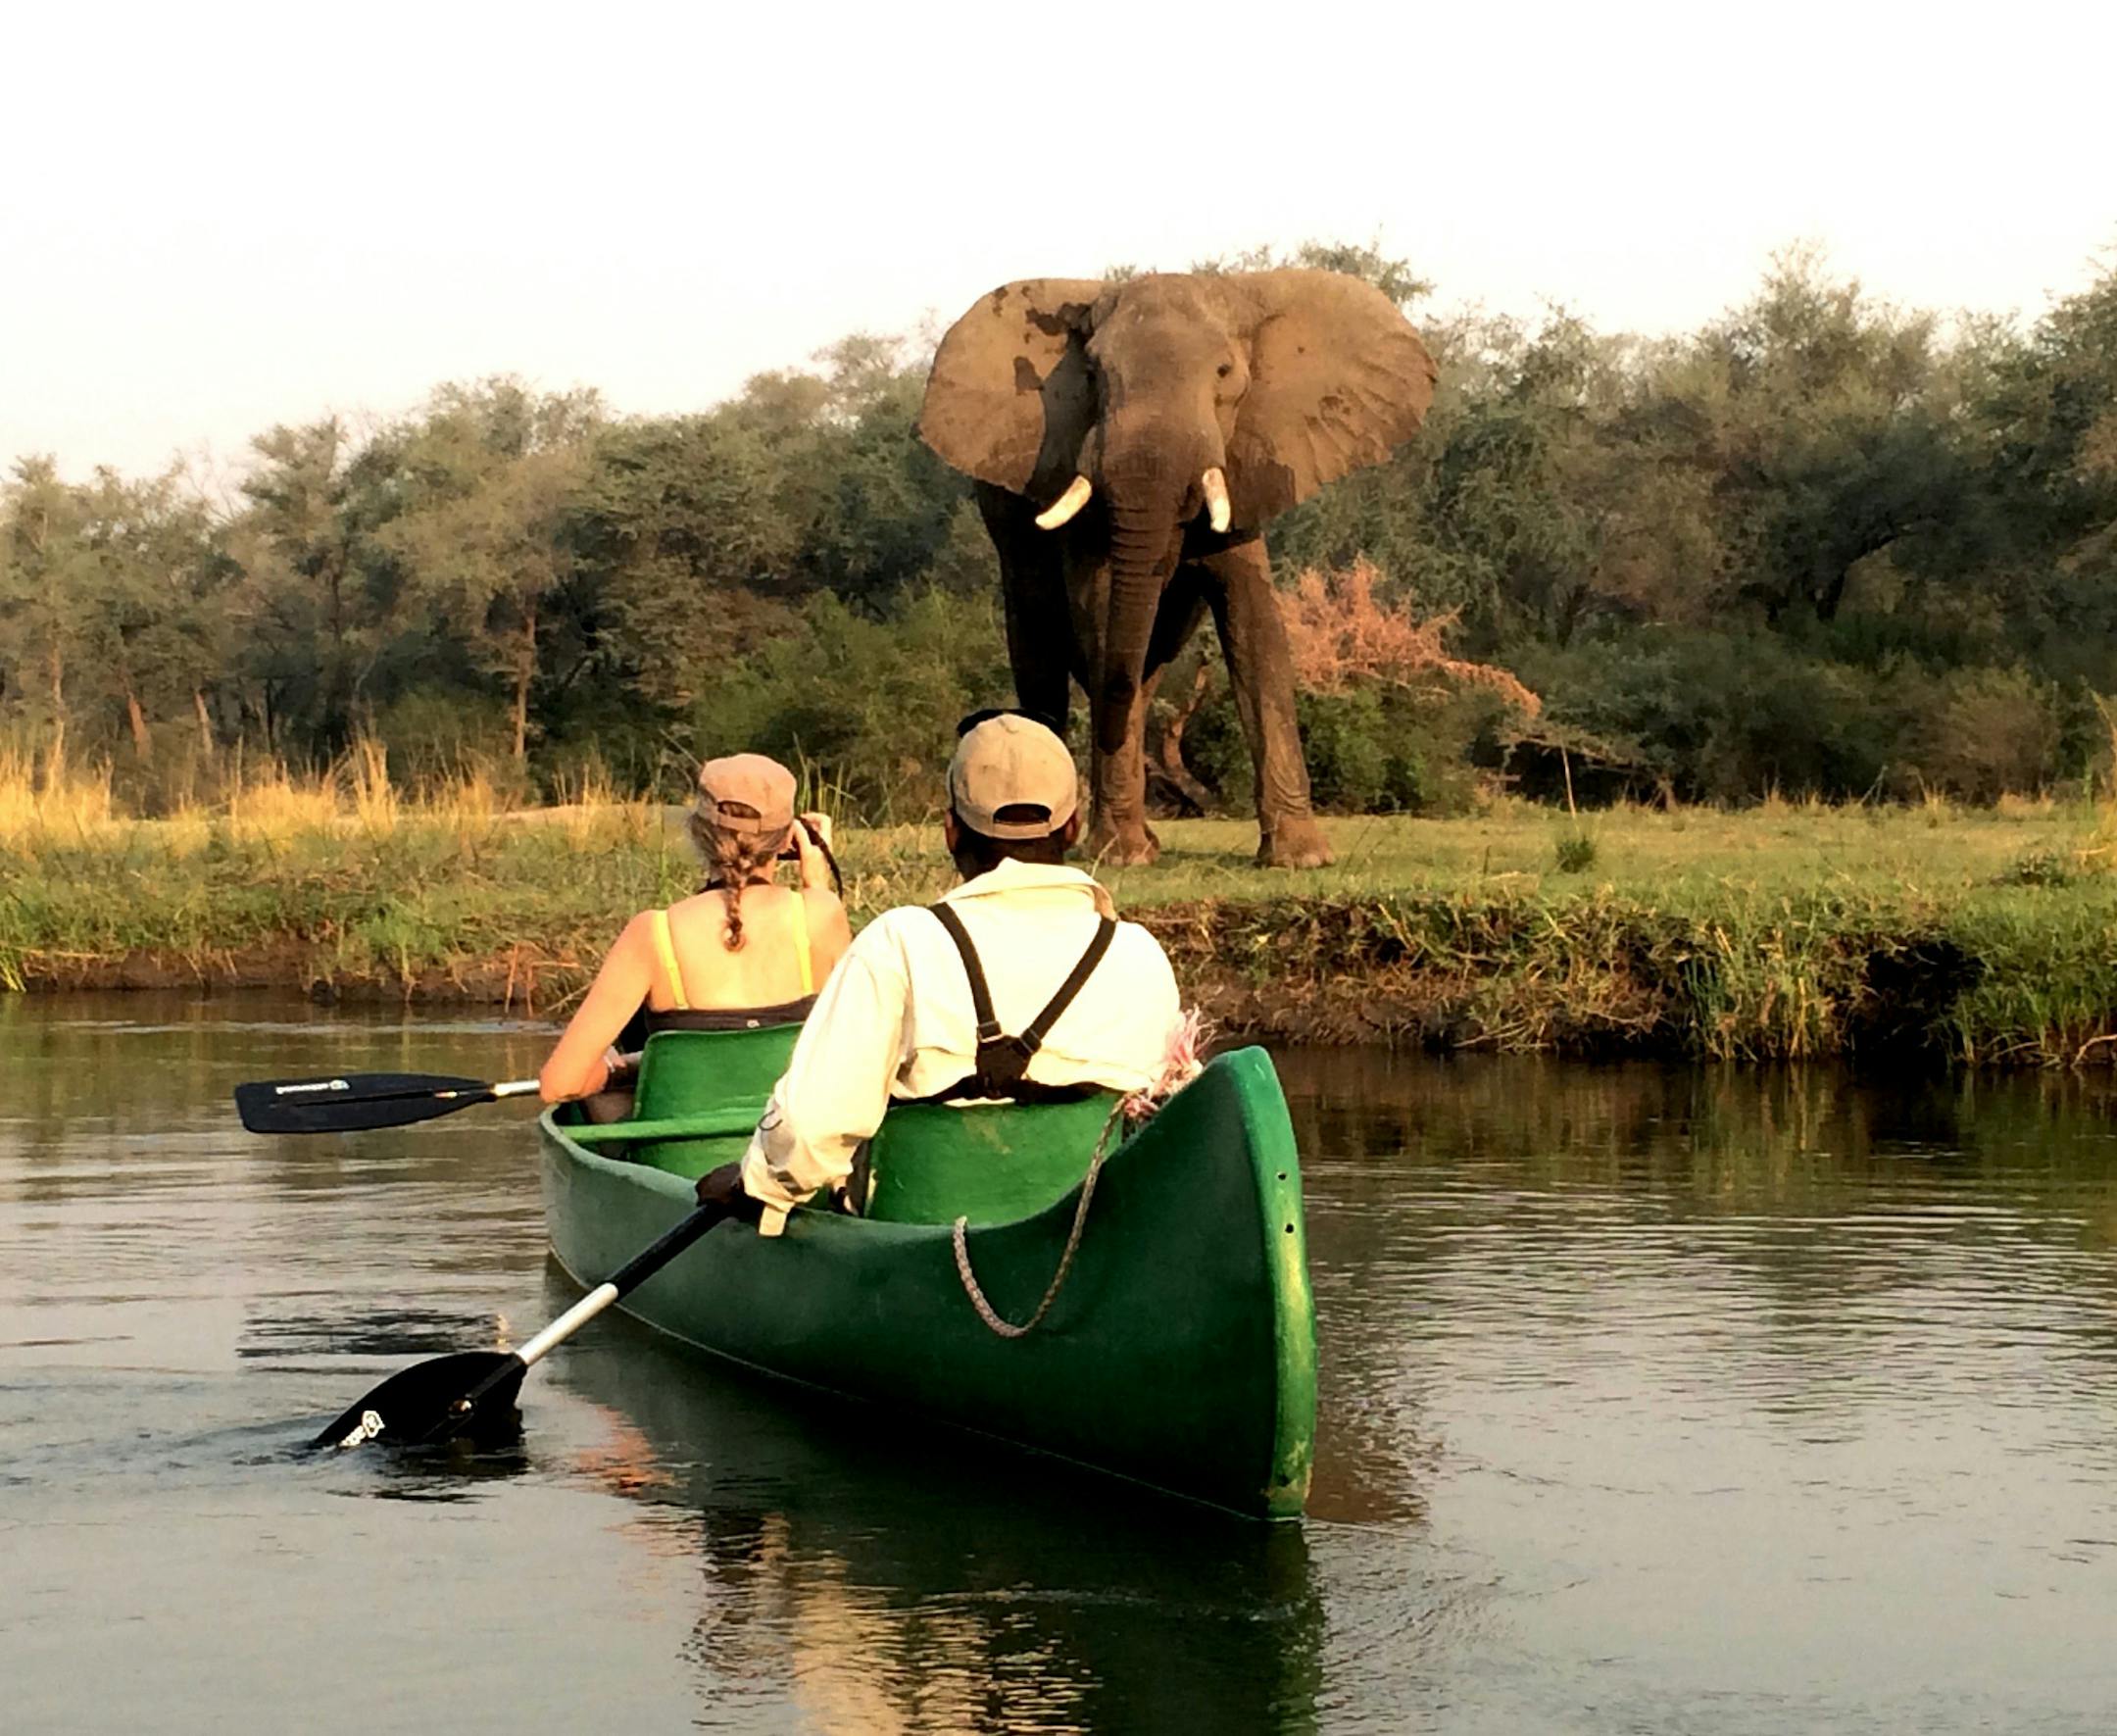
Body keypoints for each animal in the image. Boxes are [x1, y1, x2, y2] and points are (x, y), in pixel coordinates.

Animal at [917, 269, 1436, 867]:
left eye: (1225, 373)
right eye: (1092, 374)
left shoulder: (1245, 468)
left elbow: (1254, 625)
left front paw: (1300, 859)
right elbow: (1102, 614)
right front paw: (1120, 857)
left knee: (1144, 665)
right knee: (1045, 653)